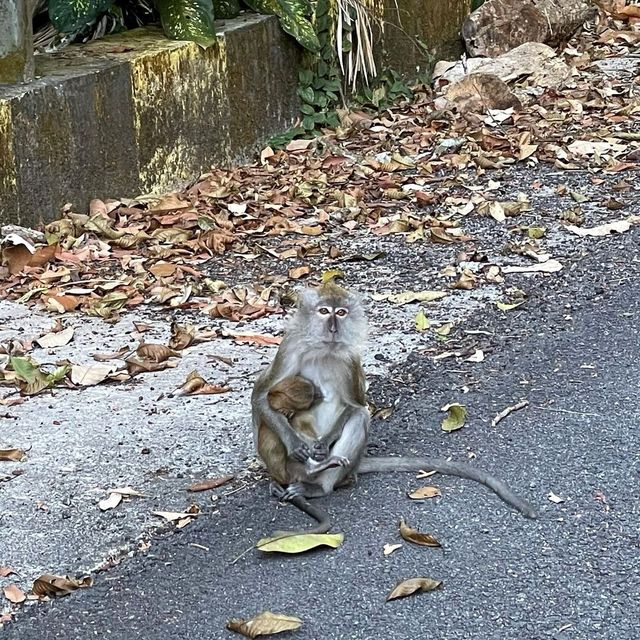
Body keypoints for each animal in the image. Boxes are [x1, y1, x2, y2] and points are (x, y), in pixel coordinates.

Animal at [250, 282, 536, 532]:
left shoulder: (351, 360)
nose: (332, 327)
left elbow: (356, 406)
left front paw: (323, 444)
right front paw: (296, 445)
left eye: (340, 312)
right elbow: (262, 396)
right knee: (269, 425)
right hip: (289, 470)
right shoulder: (290, 346)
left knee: (359, 419)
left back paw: (319, 482)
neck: (325, 350)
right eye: (323, 311)